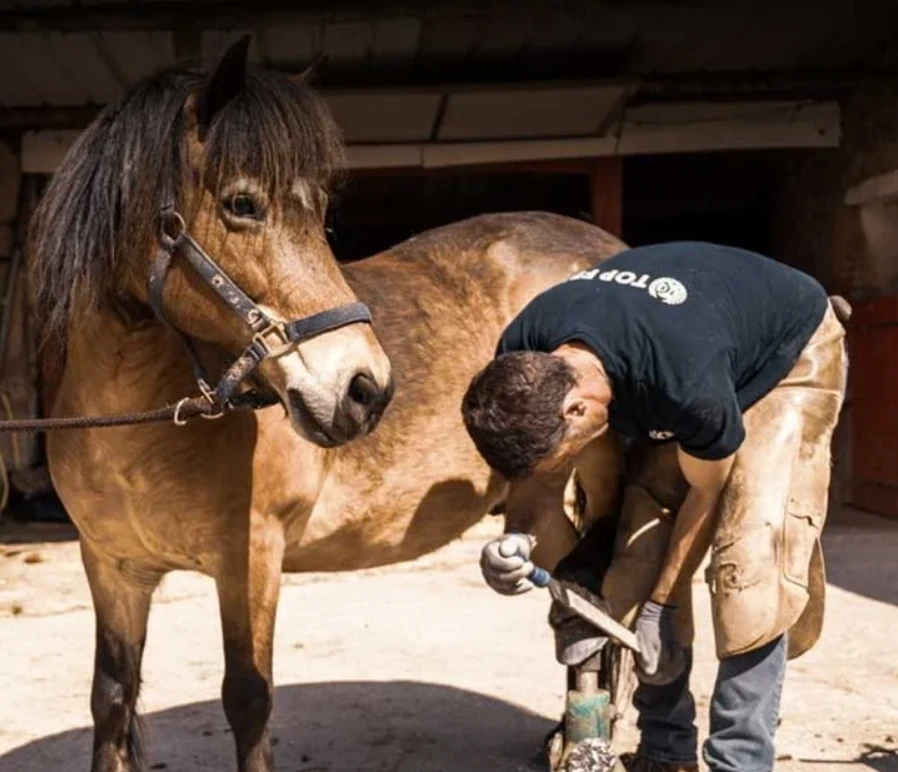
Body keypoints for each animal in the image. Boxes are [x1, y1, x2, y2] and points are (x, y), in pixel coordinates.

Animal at [29, 38, 629, 772]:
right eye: (242, 203)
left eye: (318, 214)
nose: (366, 389)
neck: (134, 429)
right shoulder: (112, 568)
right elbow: (112, 698)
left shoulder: (252, 561)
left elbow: (248, 699)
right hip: (535, 503)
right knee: (575, 592)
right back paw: (573, 730)